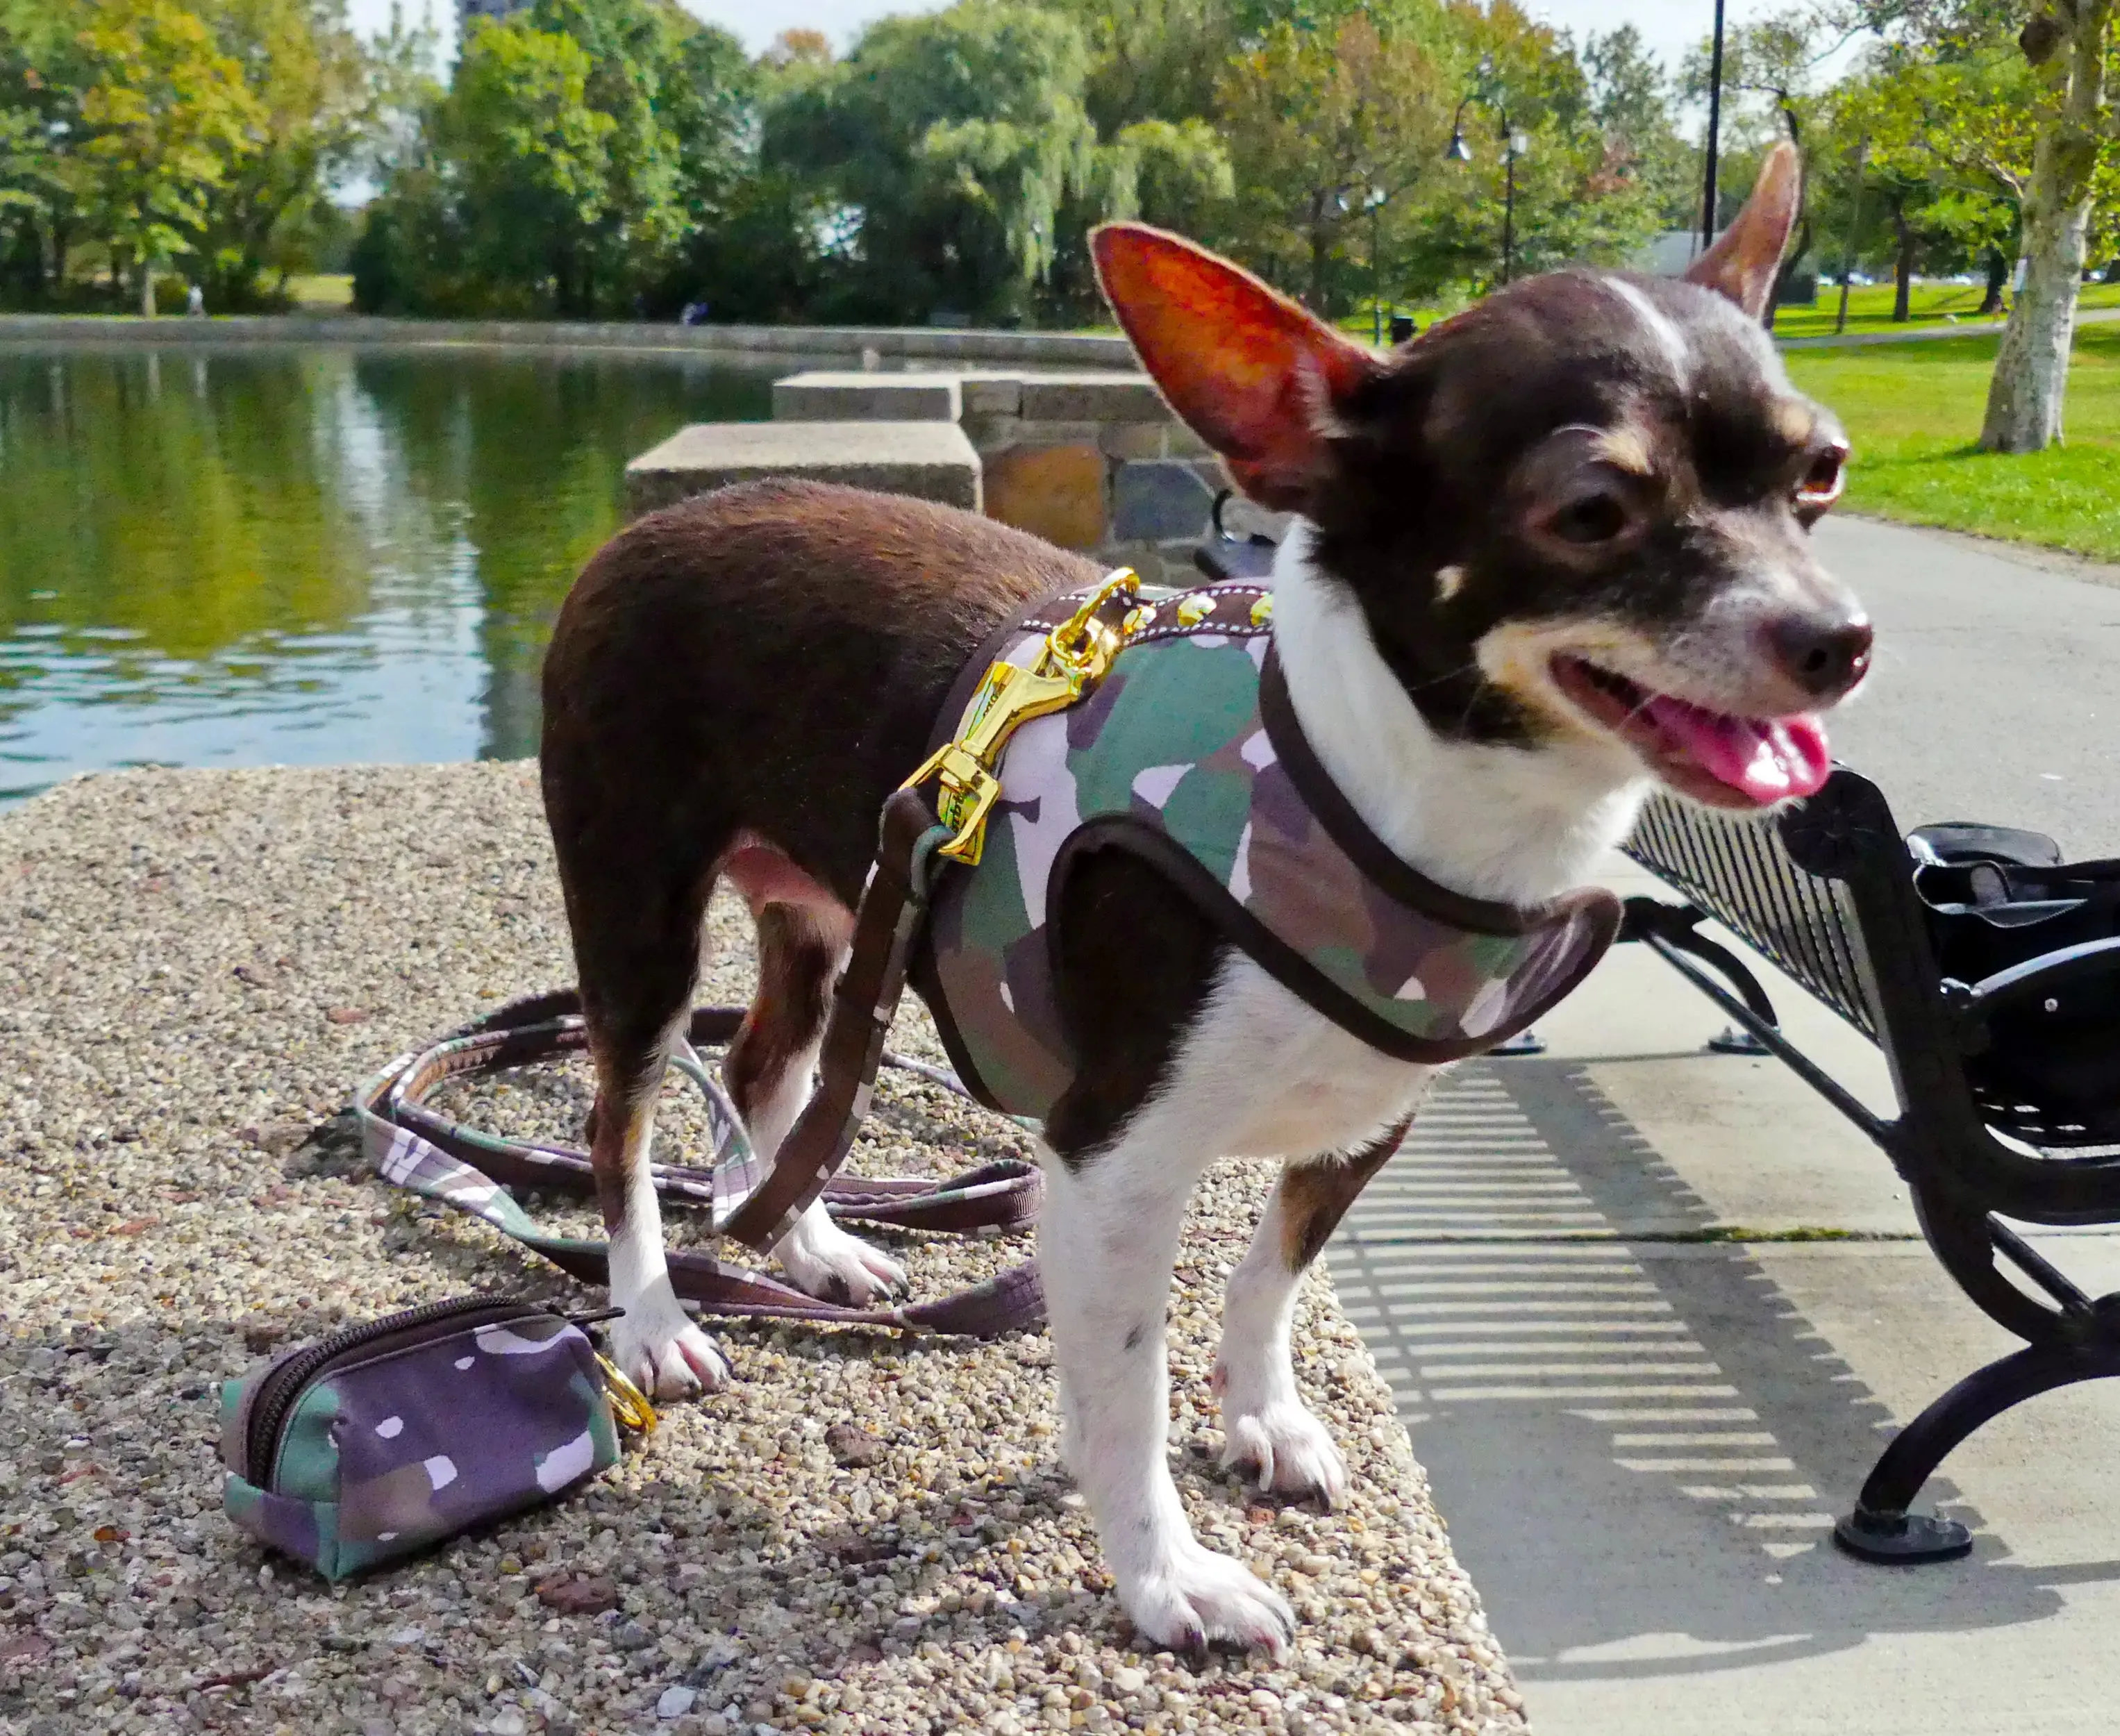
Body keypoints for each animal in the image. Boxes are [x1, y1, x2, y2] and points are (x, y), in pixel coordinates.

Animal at [546, 143, 1873, 1653]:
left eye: (1818, 474)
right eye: (1591, 513)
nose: (1837, 638)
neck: (1364, 793)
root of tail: (644, 528)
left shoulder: (1369, 1114)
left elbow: (1267, 1274)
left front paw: (1262, 1416)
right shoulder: (1105, 1161)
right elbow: (1121, 1394)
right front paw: (1160, 1572)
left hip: (838, 915)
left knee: (767, 1071)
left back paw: (812, 1246)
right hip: (640, 915)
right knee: (621, 1122)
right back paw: (655, 1315)